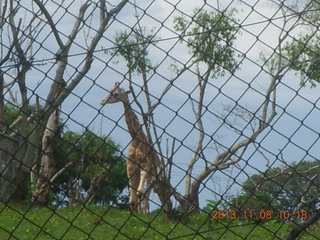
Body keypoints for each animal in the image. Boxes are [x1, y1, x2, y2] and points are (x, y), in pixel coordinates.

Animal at [100, 82, 158, 214]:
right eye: (110, 90)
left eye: (116, 94)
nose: (102, 101)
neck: (136, 140)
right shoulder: (130, 167)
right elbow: (132, 199)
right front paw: (134, 214)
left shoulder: (145, 166)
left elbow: (140, 193)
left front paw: (141, 215)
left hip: (152, 174)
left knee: (146, 195)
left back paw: (145, 213)